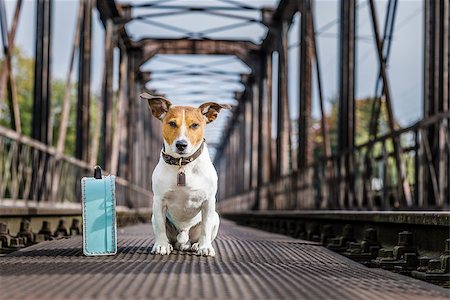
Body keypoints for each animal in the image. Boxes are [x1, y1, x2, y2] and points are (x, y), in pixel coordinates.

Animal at [141, 92, 230, 256]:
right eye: (172, 123)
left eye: (195, 125)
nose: (181, 145)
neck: (183, 165)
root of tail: (184, 239)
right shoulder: (159, 201)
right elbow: (160, 227)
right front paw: (161, 245)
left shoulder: (208, 202)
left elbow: (206, 228)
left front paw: (205, 247)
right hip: (154, 217)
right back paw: (170, 244)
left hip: (216, 217)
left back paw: (196, 245)